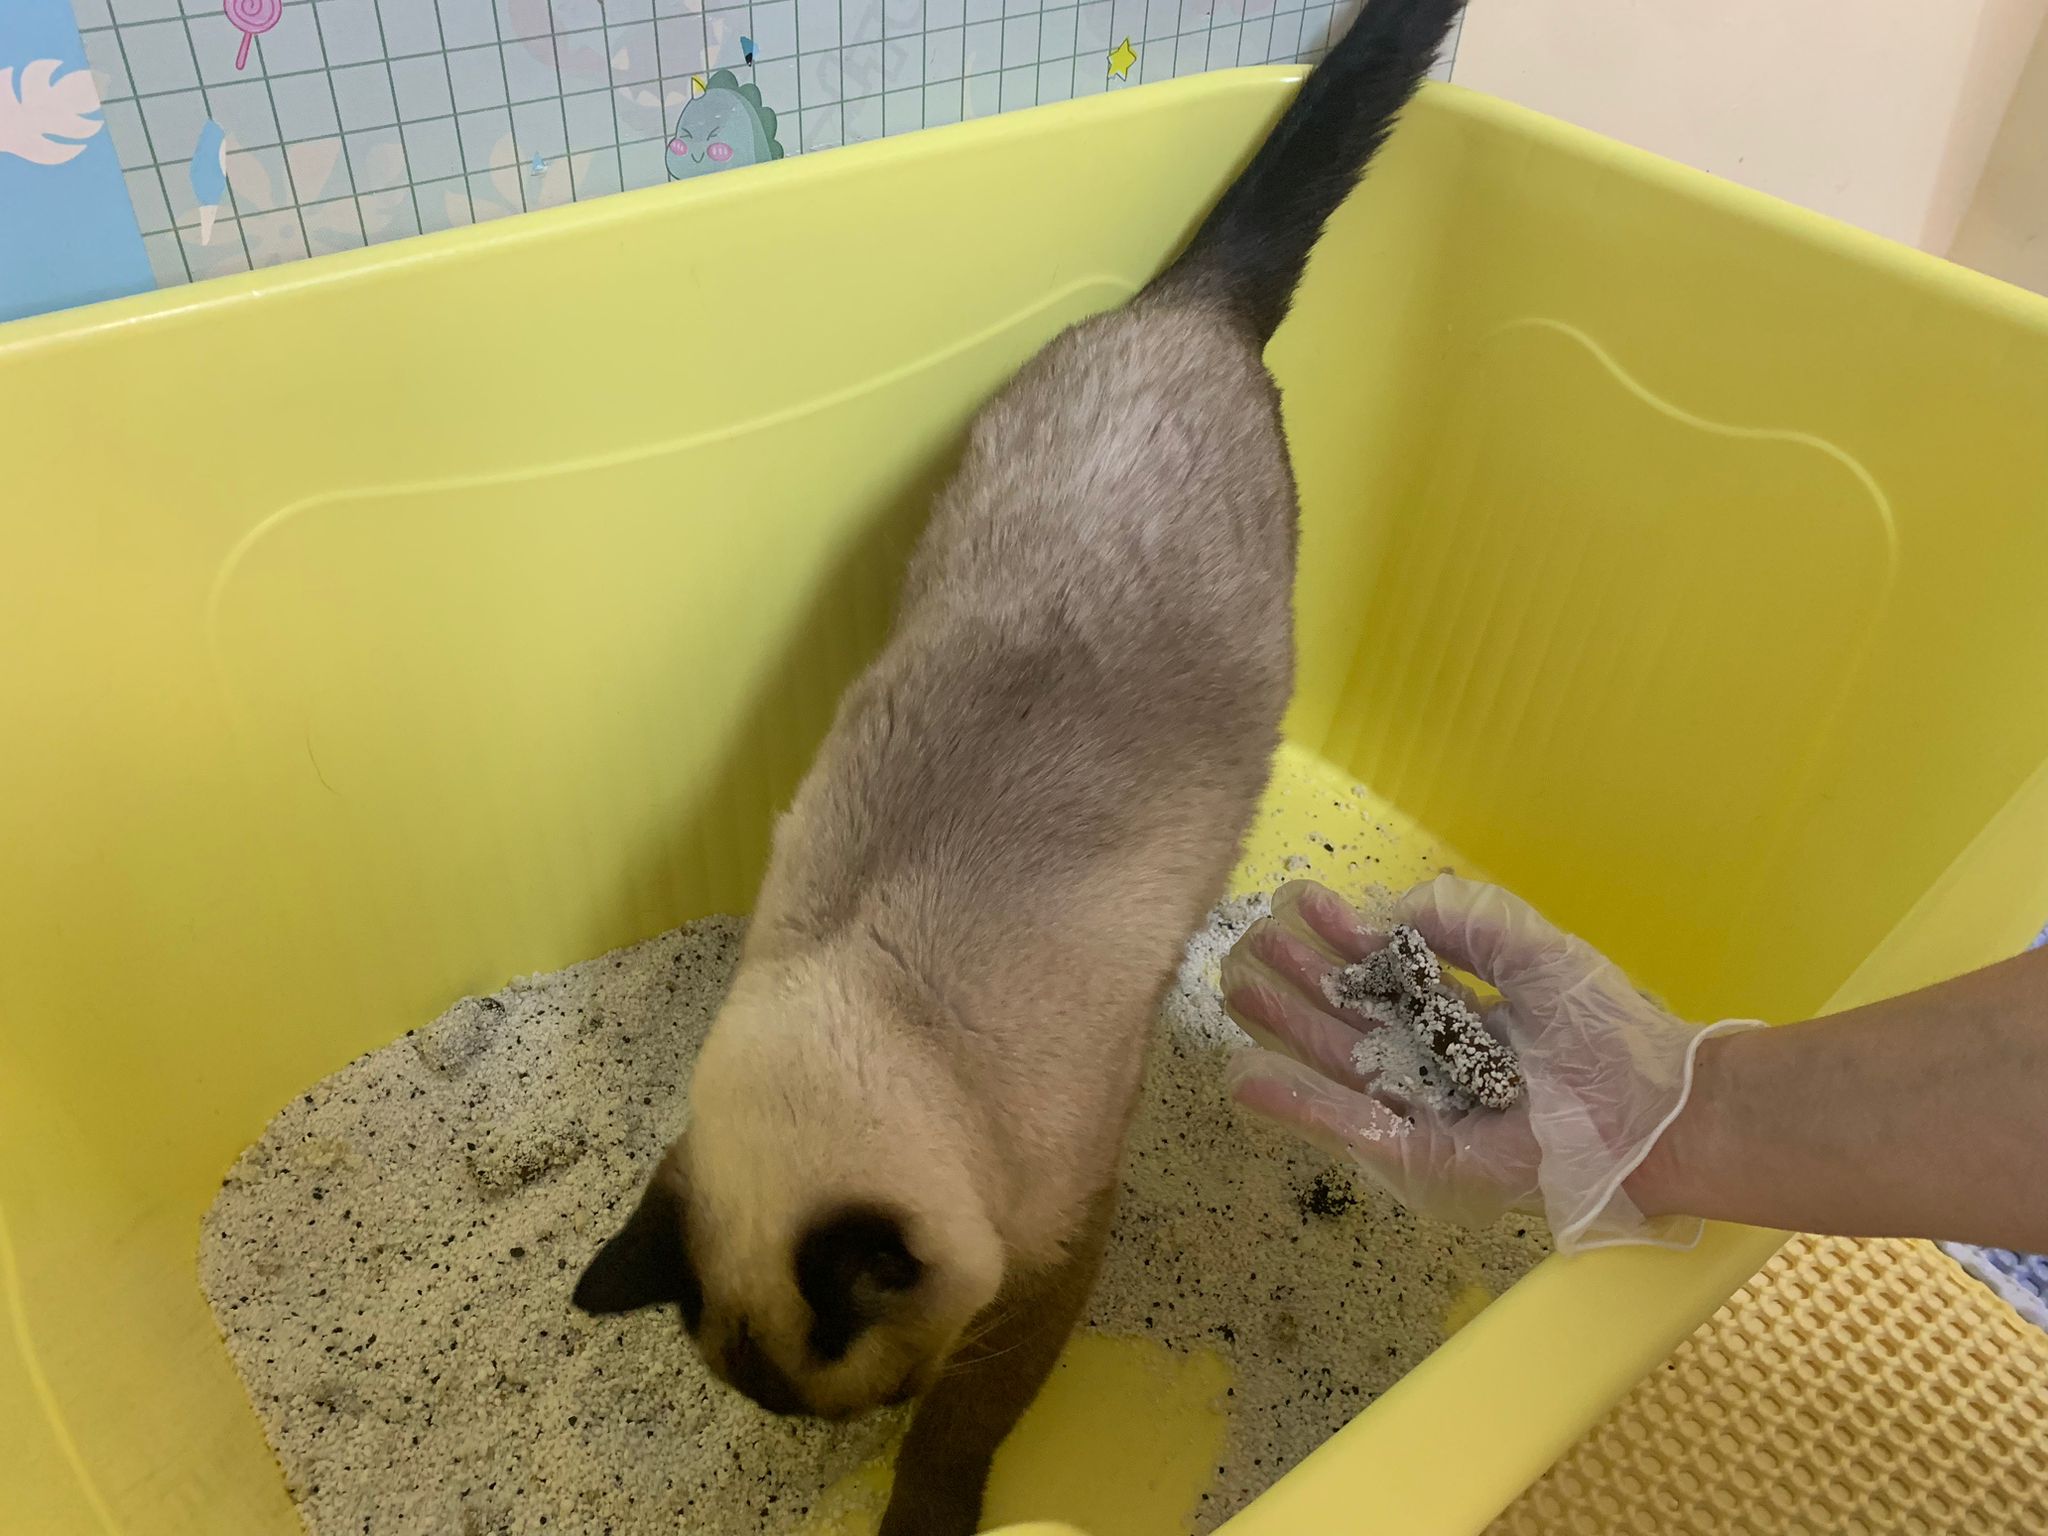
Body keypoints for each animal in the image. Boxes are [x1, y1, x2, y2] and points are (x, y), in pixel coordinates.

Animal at [575, 3, 1466, 1531]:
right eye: (788, 1413)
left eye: (861, 1401)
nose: (837, 1431)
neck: (892, 1014)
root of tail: (1184, 307)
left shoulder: (1053, 1254)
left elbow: (968, 1422)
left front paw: (921, 1501)